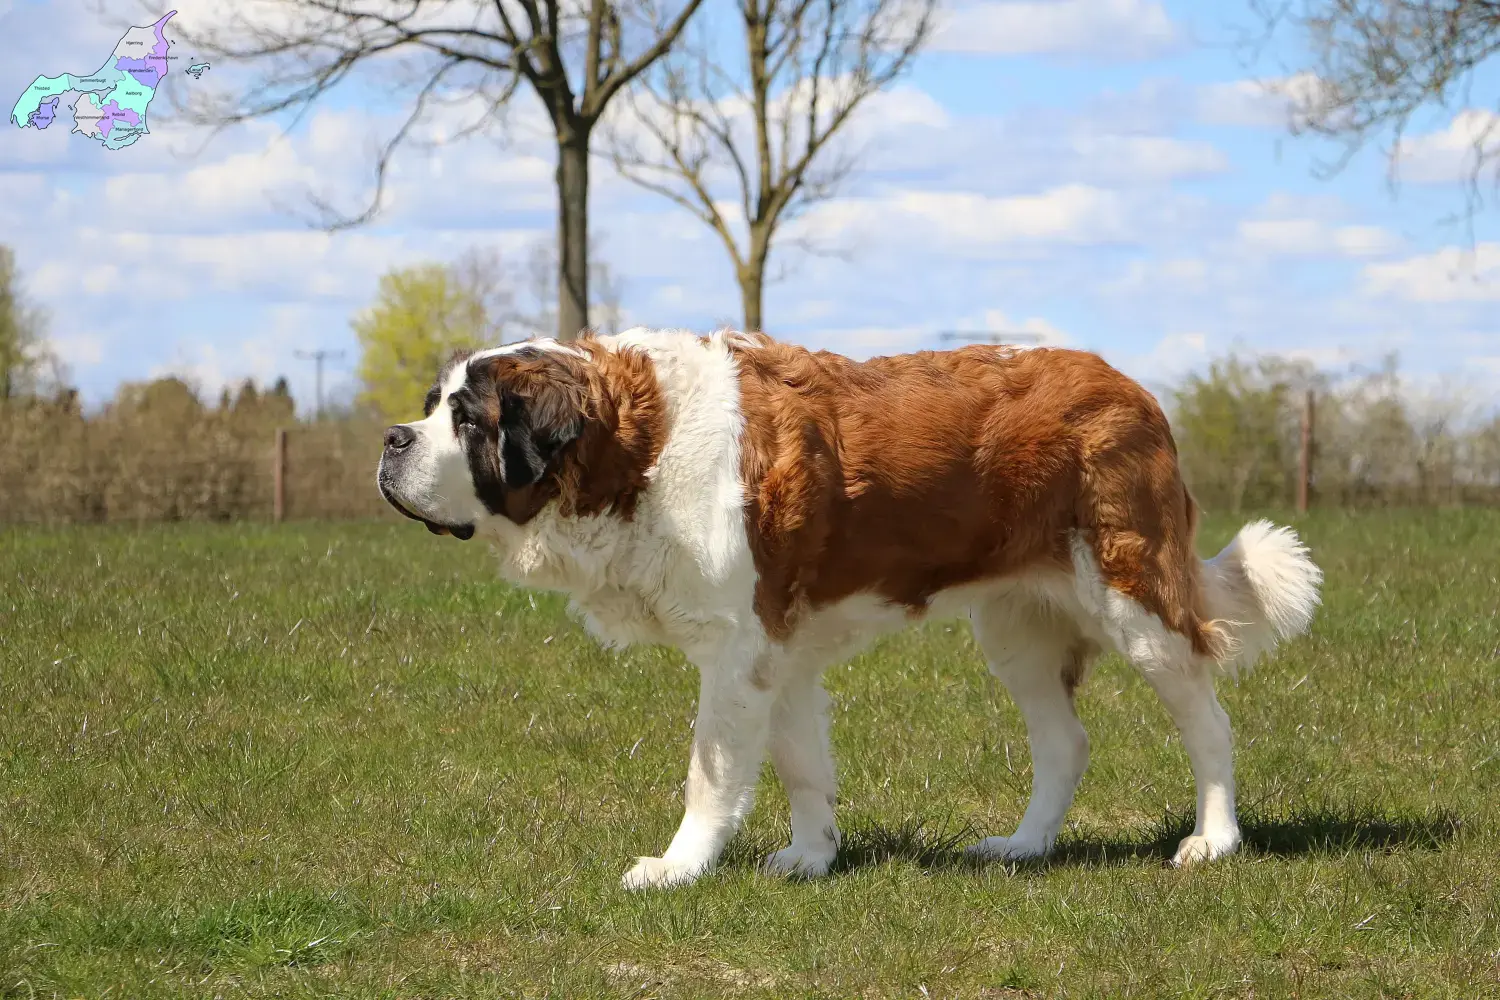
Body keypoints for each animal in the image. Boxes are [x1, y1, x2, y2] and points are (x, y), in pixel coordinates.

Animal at [378, 328, 1326, 893]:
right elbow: (800, 763)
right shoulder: (778, 650)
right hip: (1015, 627)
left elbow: (710, 771)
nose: (391, 440)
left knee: (1207, 720)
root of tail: (1134, 388)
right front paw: (810, 856)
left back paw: (1214, 839)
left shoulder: (737, 650)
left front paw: (679, 866)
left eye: (466, 419)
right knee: (1065, 741)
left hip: (1136, 596)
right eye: (430, 409)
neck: (636, 449)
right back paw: (1022, 848)